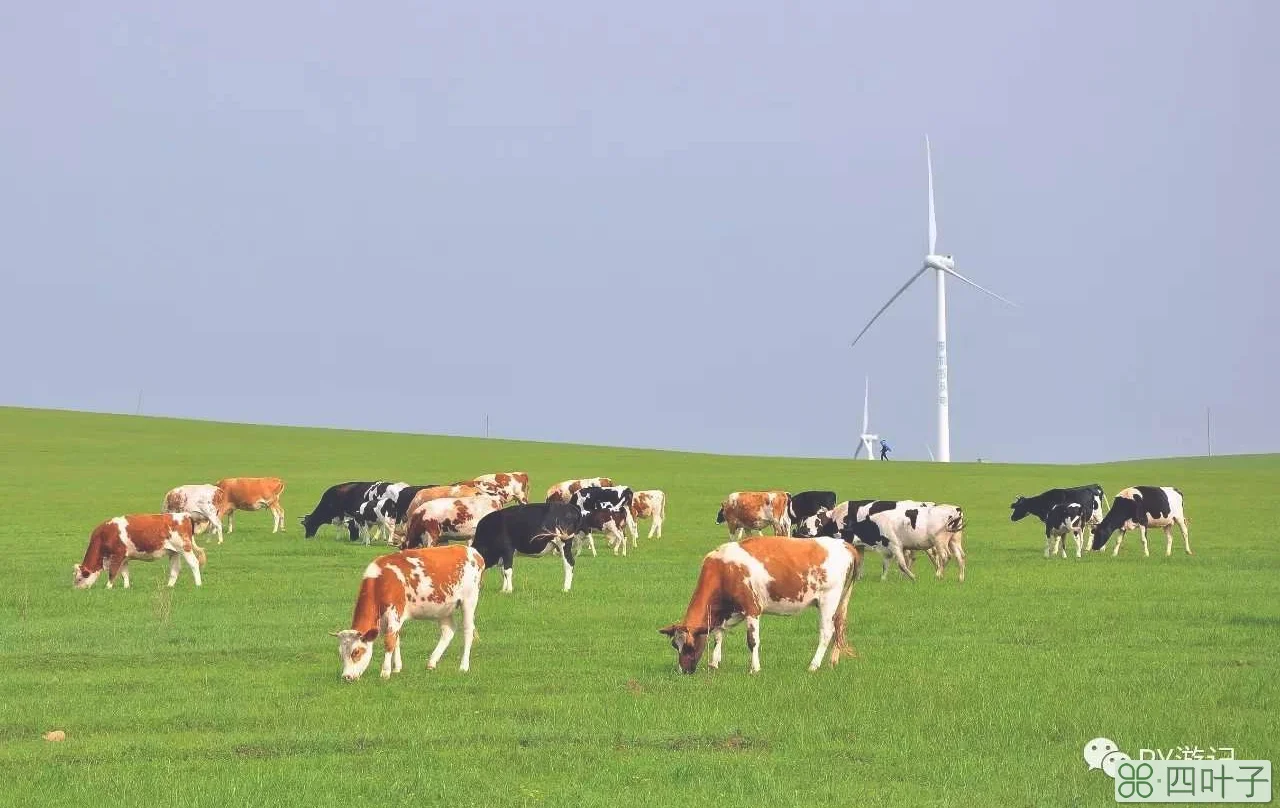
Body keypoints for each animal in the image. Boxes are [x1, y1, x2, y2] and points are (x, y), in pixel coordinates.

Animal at [73, 514, 207, 591]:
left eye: (79, 579)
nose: (76, 589)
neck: (104, 535)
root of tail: (185, 515)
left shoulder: (117, 555)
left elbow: (112, 572)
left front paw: (108, 587)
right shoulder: (124, 558)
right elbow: (124, 574)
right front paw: (126, 587)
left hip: (185, 548)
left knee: (194, 563)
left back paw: (198, 584)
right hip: (174, 552)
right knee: (175, 569)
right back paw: (169, 586)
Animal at [330, 542, 483, 681]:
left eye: (356, 652)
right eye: (340, 654)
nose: (346, 677)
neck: (381, 581)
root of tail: (471, 551)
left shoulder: (394, 613)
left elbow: (389, 641)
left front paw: (385, 672)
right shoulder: (389, 619)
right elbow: (396, 640)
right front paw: (397, 668)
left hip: (469, 601)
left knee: (468, 631)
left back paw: (463, 666)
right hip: (443, 607)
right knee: (448, 630)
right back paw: (431, 662)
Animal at [660, 537, 860, 676]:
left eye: (689, 646)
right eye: (675, 645)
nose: (683, 671)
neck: (723, 570)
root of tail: (843, 544)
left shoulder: (752, 609)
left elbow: (752, 641)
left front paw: (754, 668)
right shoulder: (729, 612)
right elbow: (718, 634)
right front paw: (714, 663)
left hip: (829, 599)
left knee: (827, 633)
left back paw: (813, 665)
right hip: (839, 602)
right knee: (838, 628)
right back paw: (832, 662)